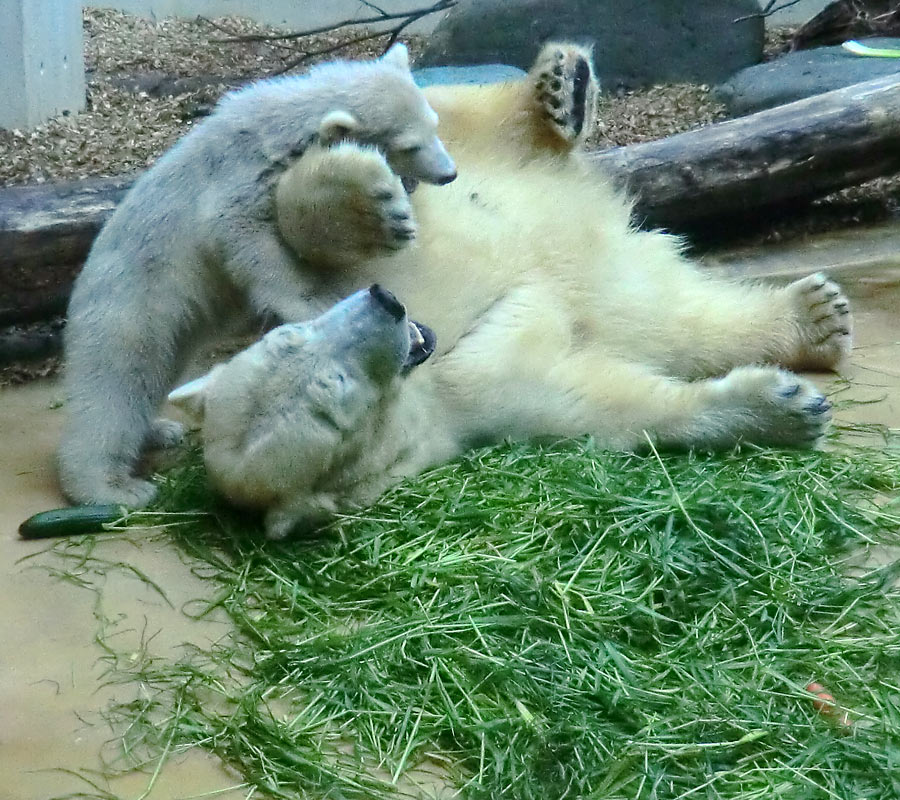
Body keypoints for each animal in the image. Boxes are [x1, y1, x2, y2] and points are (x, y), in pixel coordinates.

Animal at [59, 42, 458, 506]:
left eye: (435, 123)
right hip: (134, 306)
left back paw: (160, 430)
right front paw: (313, 301)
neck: (273, 130)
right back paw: (111, 486)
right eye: (410, 145)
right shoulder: (238, 182)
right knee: (115, 385)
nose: (449, 173)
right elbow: (251, 244)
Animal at [169, 43, 852, 540]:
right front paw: (784, 408)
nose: (390, 310)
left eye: (289, 337)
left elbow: (304, 249)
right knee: (671, 317)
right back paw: (815, 317)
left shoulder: (339, 287)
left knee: (461, 118)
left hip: (457, 153)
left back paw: (557, 91)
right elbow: (607, 403)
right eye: (335, 399)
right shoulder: (473, 408)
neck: (433, 356)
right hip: (615, 282)